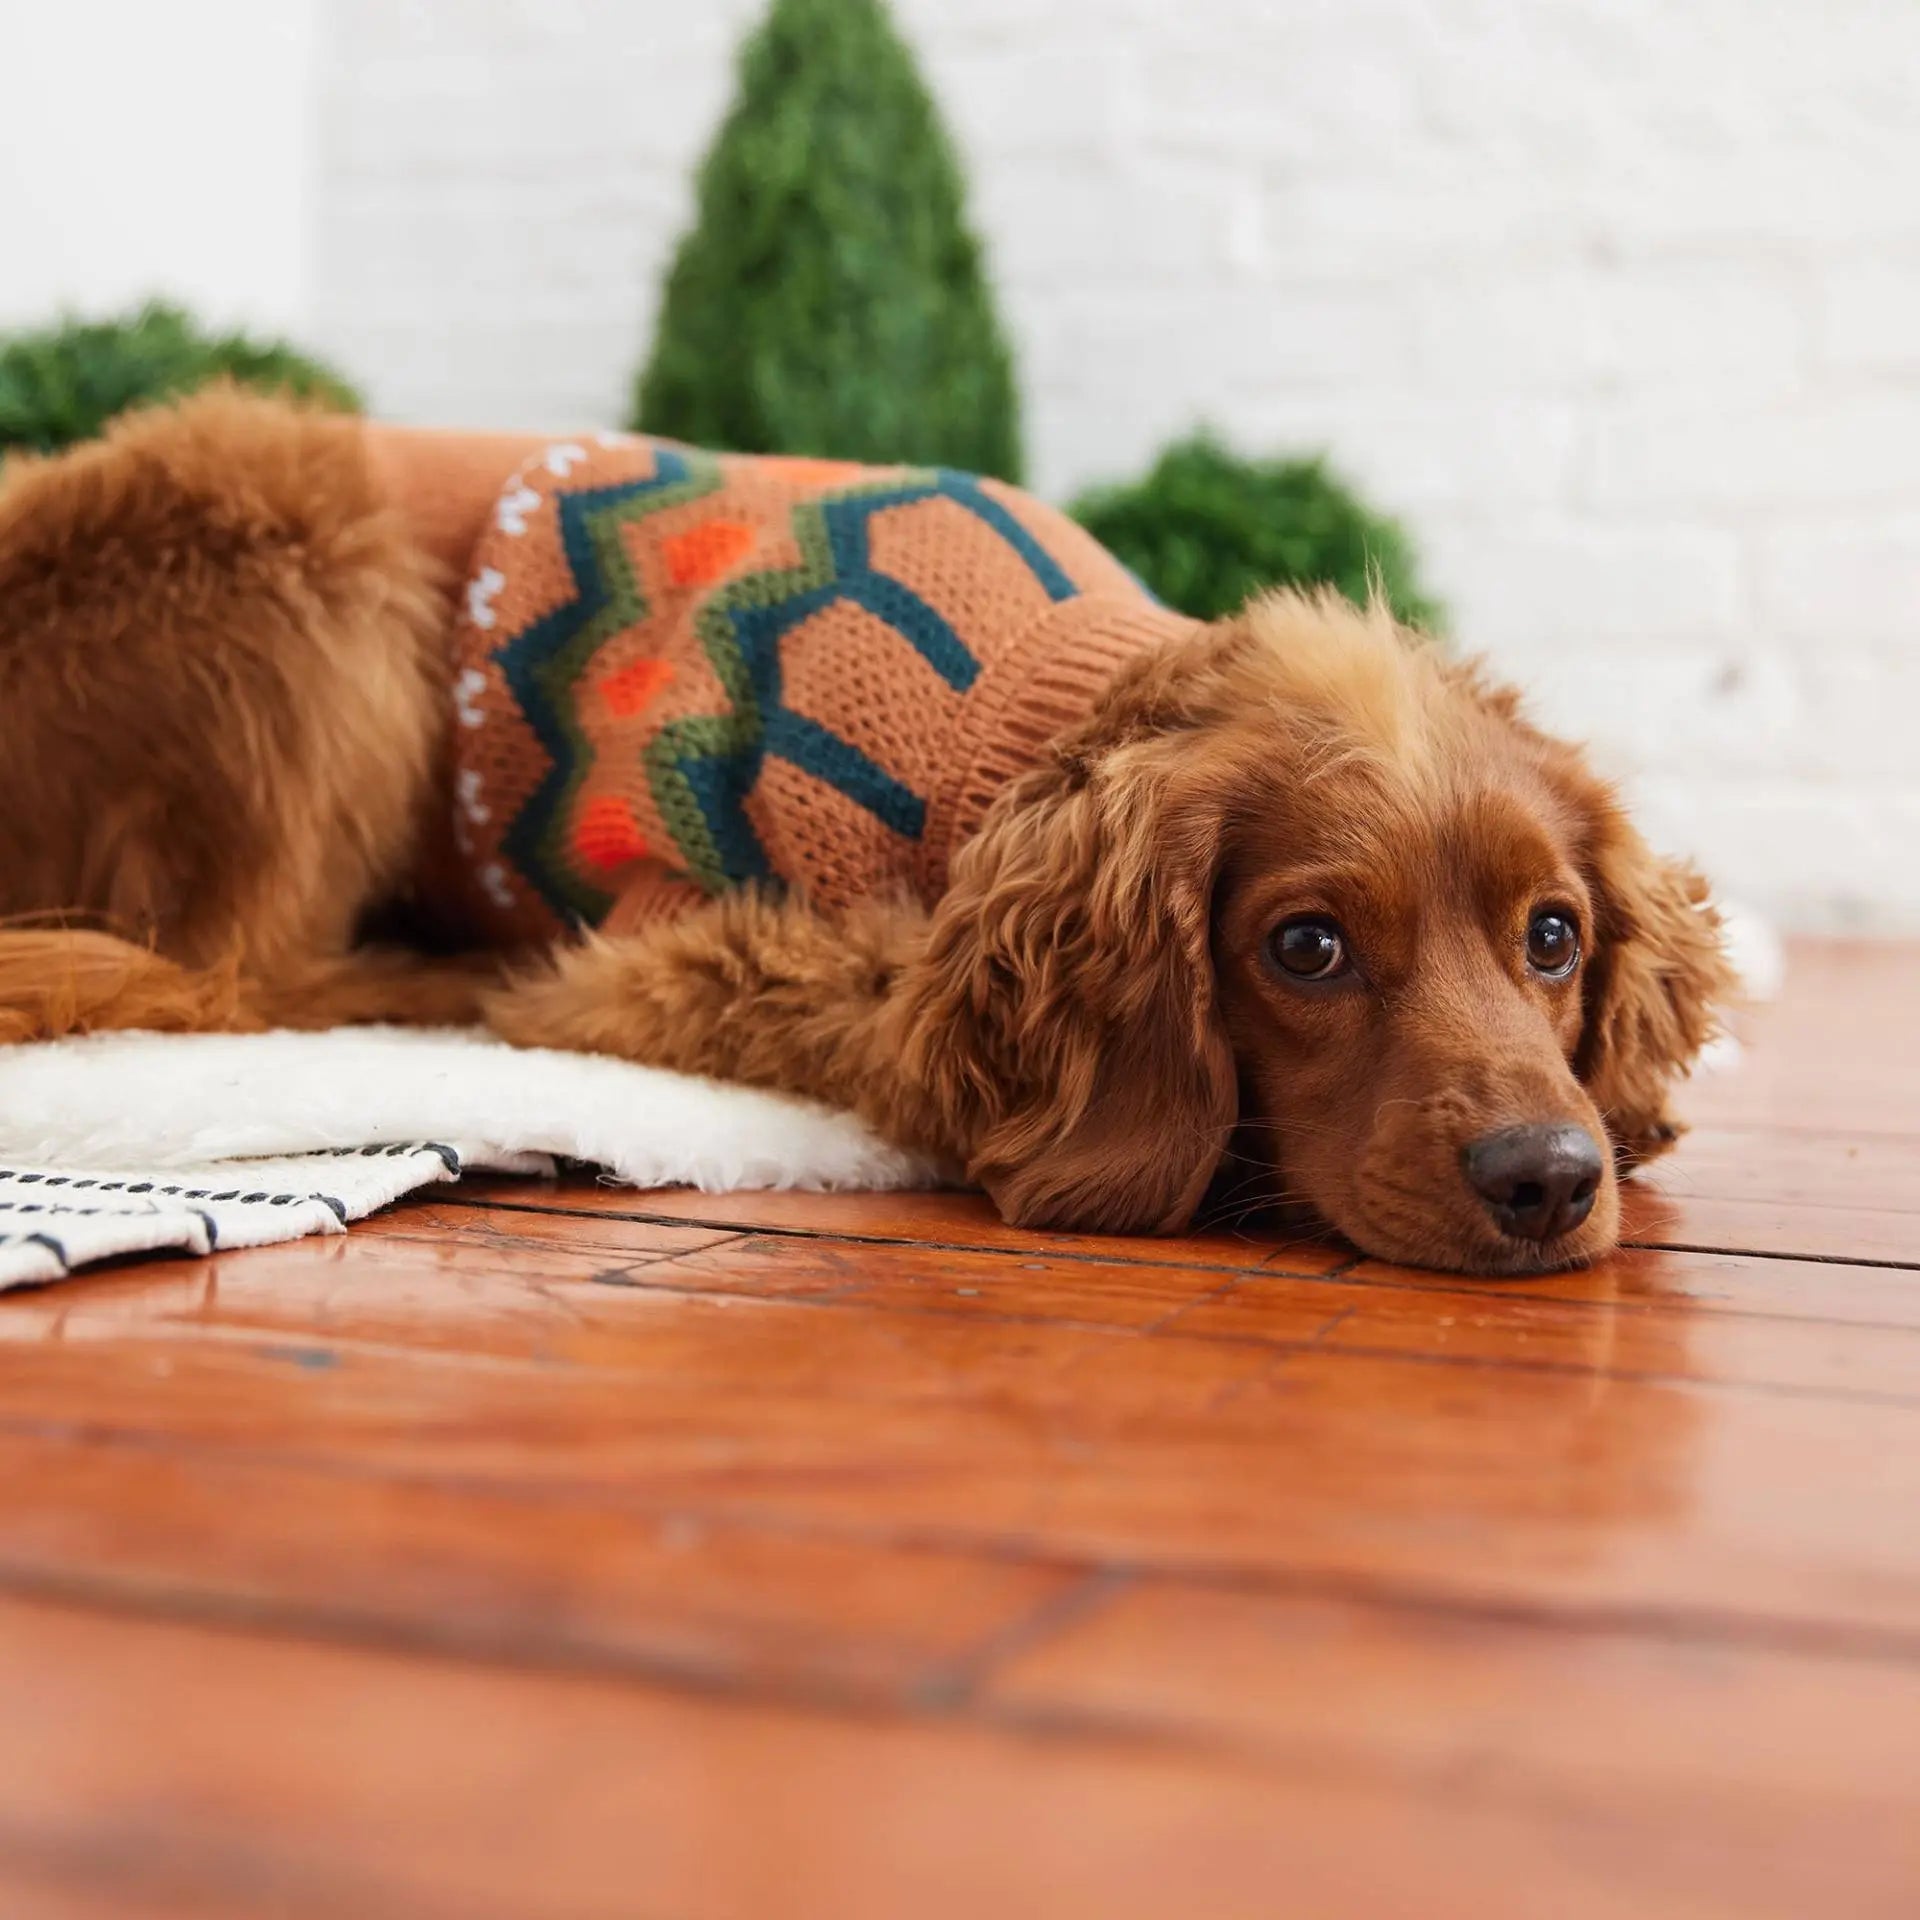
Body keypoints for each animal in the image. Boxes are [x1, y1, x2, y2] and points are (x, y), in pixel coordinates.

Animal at [0, 389, 1728, 1274]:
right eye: (1305, 948)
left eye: (1555, 936)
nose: (1548, 1180)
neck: (1050, 712)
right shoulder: (659, 960)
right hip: (291, 502)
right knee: (236, 977)